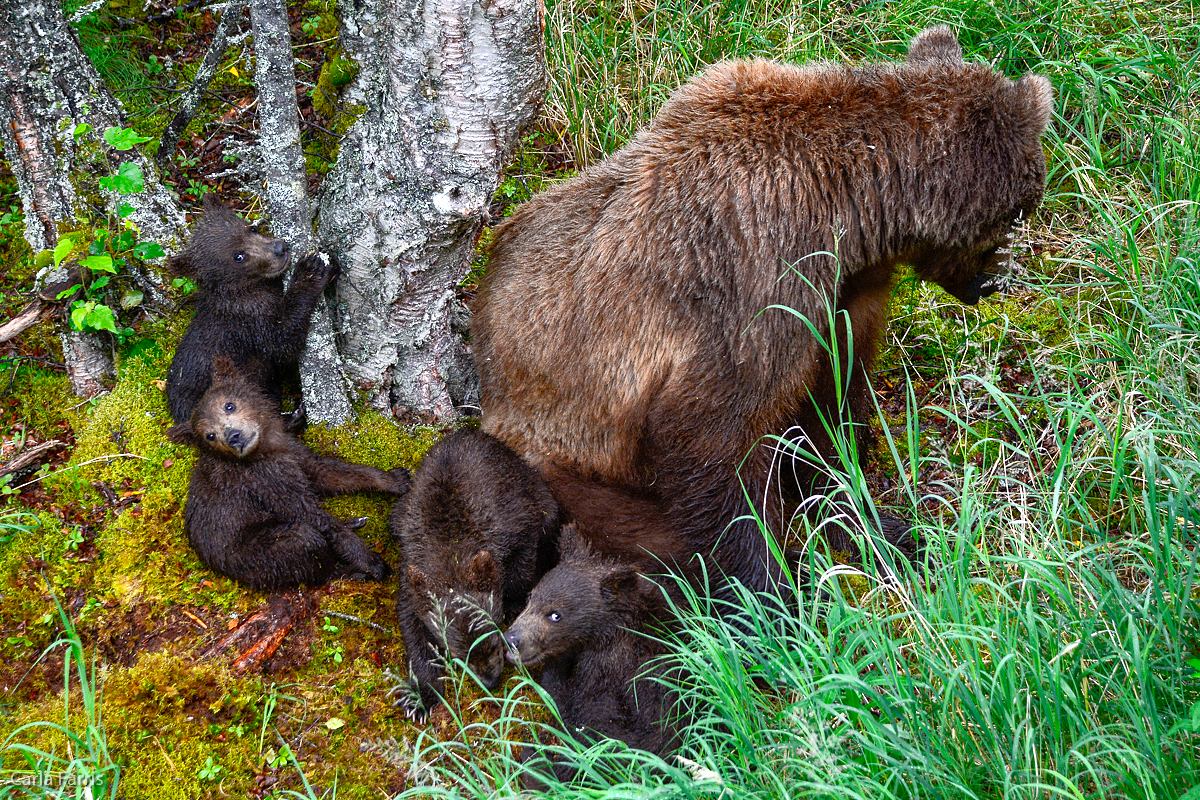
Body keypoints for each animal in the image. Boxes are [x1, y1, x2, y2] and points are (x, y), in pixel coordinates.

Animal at [468, 26, 1051, 594]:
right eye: (1021, 210)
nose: (996, 281)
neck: (853, 208)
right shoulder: (759, 282)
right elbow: (714, 438)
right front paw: (773, 590)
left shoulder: (844, 296)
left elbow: (832, 407)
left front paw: (878, 526)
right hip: (564, 457)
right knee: (643, 537)